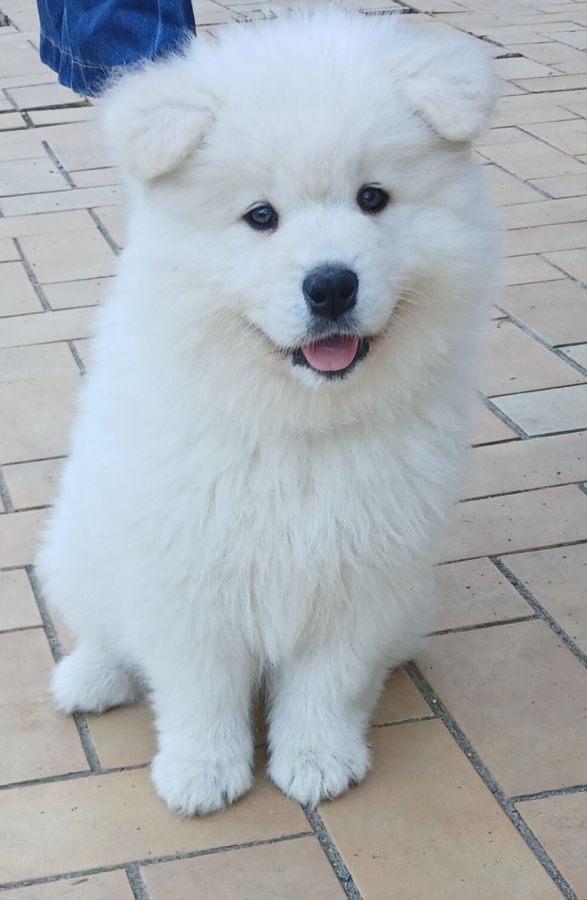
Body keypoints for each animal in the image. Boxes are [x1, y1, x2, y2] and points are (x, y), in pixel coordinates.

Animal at [38, 7, 498, 815]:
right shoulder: (185, 569)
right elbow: (200, 685)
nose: (331, 285)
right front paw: (200, 772)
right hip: (75, 546)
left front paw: (317, 760)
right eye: (260, 216)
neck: (296, 423)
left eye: (372, 198)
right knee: (101, 628)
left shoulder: (365, 569)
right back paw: (90, 679)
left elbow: (329, 681)